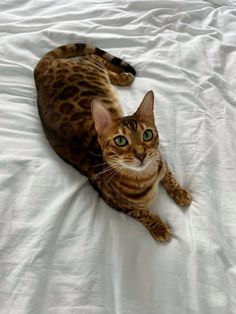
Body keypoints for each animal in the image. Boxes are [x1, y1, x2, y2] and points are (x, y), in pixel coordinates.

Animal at [34, 42, 191, 243]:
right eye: (120, 140)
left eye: (147, 135)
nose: (141, 154)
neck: (147, 177)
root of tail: (41, 70)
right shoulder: (115, 203)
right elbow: (141, 213)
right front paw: (158, 227)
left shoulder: (158, 156)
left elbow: (169, 175)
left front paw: (179, 192)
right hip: (90, 69)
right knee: (92, 56)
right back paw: (123, 76)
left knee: (93, 56)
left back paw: (123, 76)